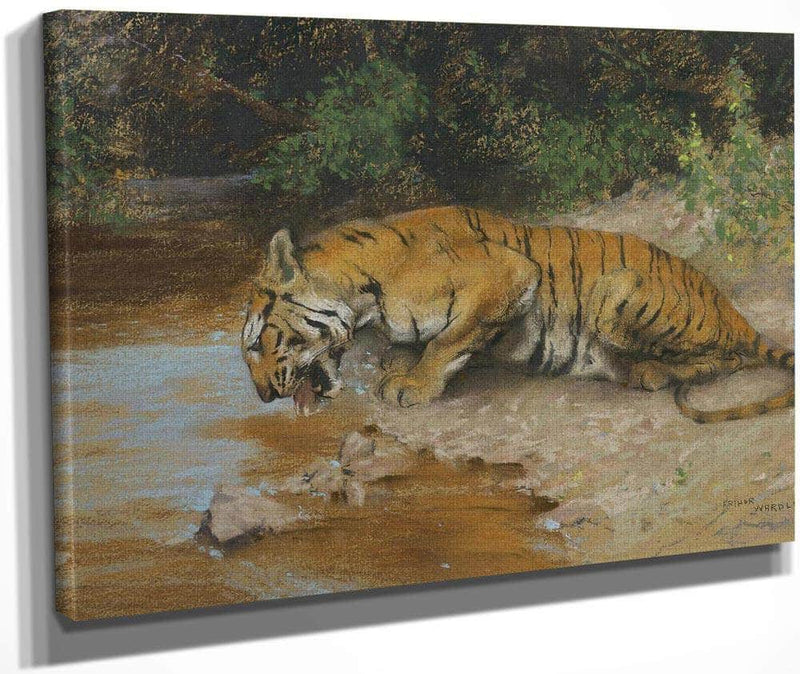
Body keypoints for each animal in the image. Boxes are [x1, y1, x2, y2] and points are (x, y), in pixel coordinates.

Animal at [241, 206, 794, 423]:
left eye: (257, 342)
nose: (264, 396)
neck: (362, 295)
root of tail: (731, 307)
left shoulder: (509, 273)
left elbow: (446, 340)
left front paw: (411, 385)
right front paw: (398, 366)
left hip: (614, 296)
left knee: (728, 357)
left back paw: (649, 372)